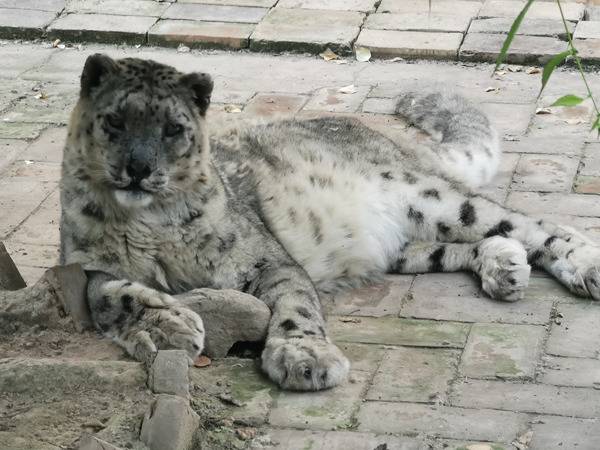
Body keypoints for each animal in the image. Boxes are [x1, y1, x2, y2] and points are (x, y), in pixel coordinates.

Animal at [59, 52, 600, 390]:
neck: (149, 226)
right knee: (468, 245)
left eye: (173, 129)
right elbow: (110, 299)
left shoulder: (266, 260)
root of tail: (387, 137)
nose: (138, 168)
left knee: (532, 225)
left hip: (432, 199)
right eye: (115, 120)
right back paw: (503, 267)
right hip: (405, 245)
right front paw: (171, 325)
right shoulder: (88, 266)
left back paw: (584, 267)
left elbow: (295, 304)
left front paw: (305, 359)